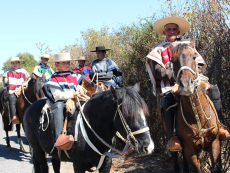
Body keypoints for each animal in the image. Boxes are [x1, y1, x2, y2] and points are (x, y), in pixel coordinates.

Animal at [23, 83, 155, 172]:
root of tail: (29, 108)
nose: (149, 147)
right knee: (43, 166)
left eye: (144, 112)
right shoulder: (78, 165)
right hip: (37, 149)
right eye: (128, 115)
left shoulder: (106, 163)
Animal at [171, 42, 221, 173]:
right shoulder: (190, 150)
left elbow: (216, 167)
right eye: (172, 61)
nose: (186, 85)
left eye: (194, 57)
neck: (198, 116)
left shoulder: (214, 142)